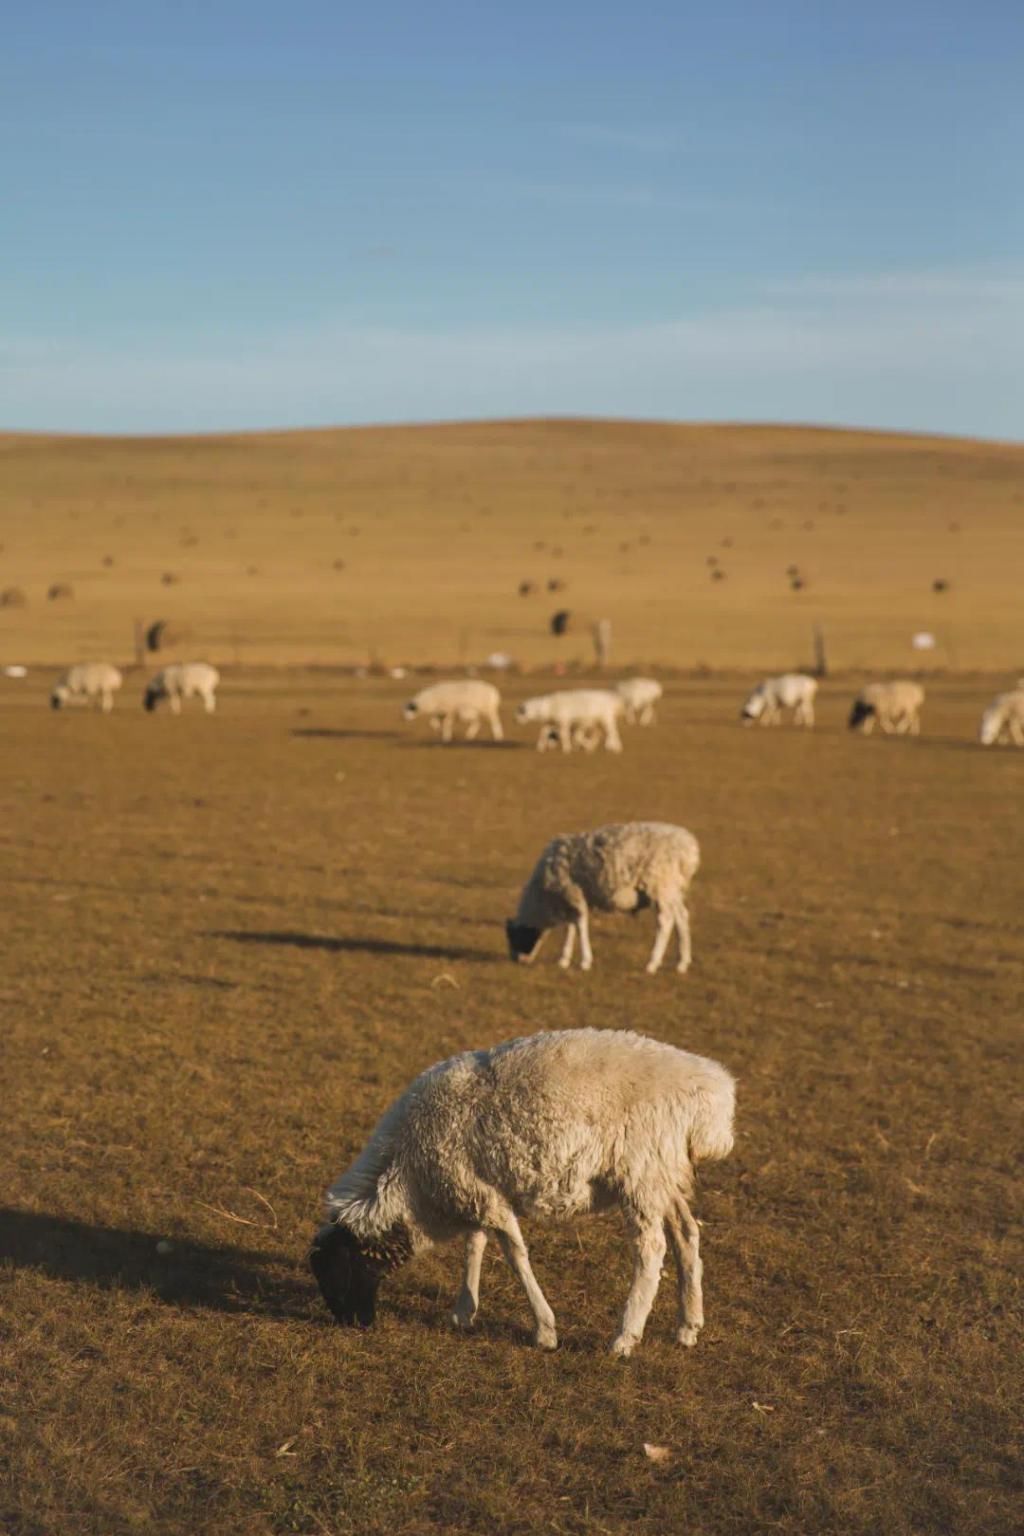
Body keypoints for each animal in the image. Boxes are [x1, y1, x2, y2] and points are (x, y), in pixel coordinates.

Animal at [313, 1032, 736, 1357]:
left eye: (337, 1271)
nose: (357, 1323)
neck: (409, 1178)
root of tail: (714, 1092)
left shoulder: (476, 1192)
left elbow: (515, 1257)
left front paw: (545, 1331)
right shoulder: (478, 1188)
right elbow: (475, 1243)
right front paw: (465, 1310)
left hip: (641, 1173)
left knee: (651, 1251)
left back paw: (624, 1338)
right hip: (664, 1172)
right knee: (687, 1233)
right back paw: (687, 1327)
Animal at [506, 823, 700, 976]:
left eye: (516, 937)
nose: (519, 961)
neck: (542, 899)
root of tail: (690, 851)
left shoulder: (573, 893)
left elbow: (580, 925)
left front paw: (585, 961)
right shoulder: (572, 899)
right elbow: (571, 927)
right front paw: (564, 959)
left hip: (660, 884)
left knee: (665, 921)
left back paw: (652, 964)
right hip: (673, 889)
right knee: (682, 917)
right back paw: (682, 963)